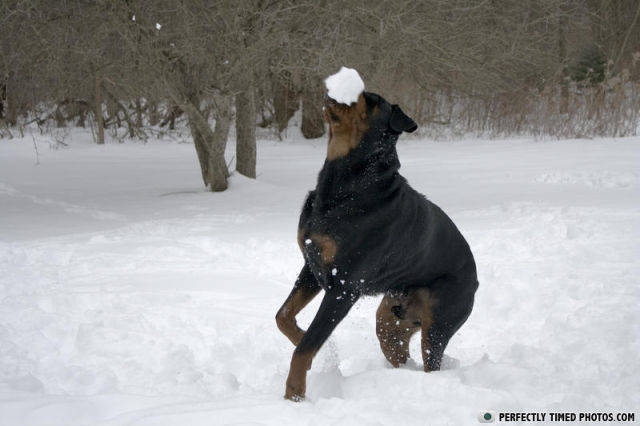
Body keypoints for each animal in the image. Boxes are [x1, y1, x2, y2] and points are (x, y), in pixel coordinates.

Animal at [272, 90, 478, 400]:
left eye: (371, 101)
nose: (335, 92)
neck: (347, 184)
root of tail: (476, 280)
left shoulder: (343, 288)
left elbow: (306, 347)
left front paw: (294, 395)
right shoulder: (312, 265)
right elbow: (284, 317)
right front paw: (305, 340)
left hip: (439, 324)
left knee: (431, 362)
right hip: (390, 322)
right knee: (400, 354)